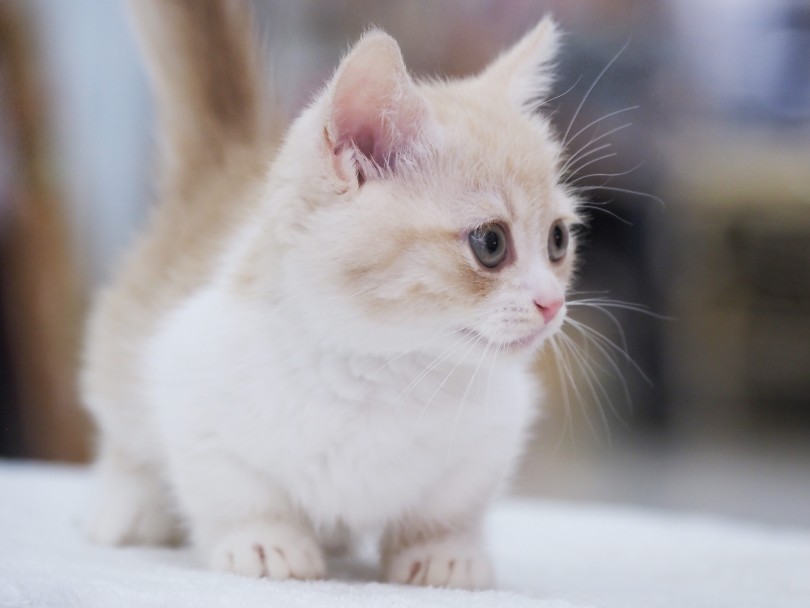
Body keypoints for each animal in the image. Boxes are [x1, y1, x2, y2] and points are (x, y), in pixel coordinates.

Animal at [82, 0, 576, 588]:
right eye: (491, 243)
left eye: (558, 240)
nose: (552, 303)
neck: (390, 370)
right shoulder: (187, 378)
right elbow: (233, 487)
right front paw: (265, 541)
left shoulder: (493, 432)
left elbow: (450, 504)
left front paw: (442, 551)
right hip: (124, 348)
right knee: (125, 430)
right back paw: (130, 509)